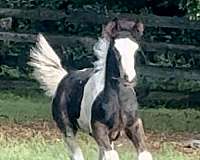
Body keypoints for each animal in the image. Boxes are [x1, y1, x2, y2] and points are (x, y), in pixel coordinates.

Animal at [28, 19, 152, 160]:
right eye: (115, 49)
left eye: (135, 49)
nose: (129, 78)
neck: (119, 101)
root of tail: (63, 78)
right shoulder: (98, 128)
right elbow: (112, 155)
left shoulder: (134, 125)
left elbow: (144, 154)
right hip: (68, 130)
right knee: (77, 154)